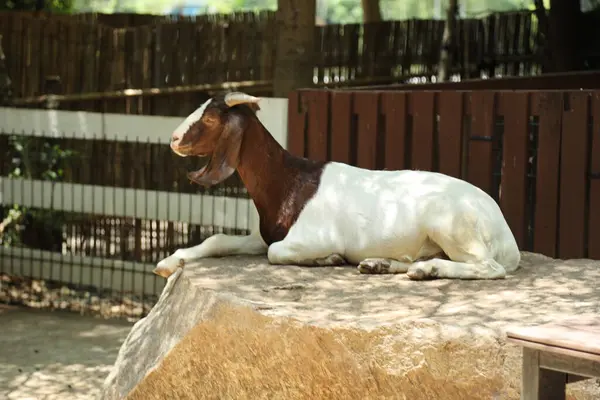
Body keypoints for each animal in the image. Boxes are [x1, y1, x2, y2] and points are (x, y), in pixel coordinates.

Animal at [156, 92, 520, 280]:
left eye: (210, 119)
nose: (172, 138)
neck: (288, 181)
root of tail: (506, 236)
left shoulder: (308, 238)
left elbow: (277, 253)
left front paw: (328, 259)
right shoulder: (262, 236)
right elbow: (217, 239)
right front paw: (169, 263)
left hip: (452, 227)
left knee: (490, 267)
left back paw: (426, 269)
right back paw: (383, 264)